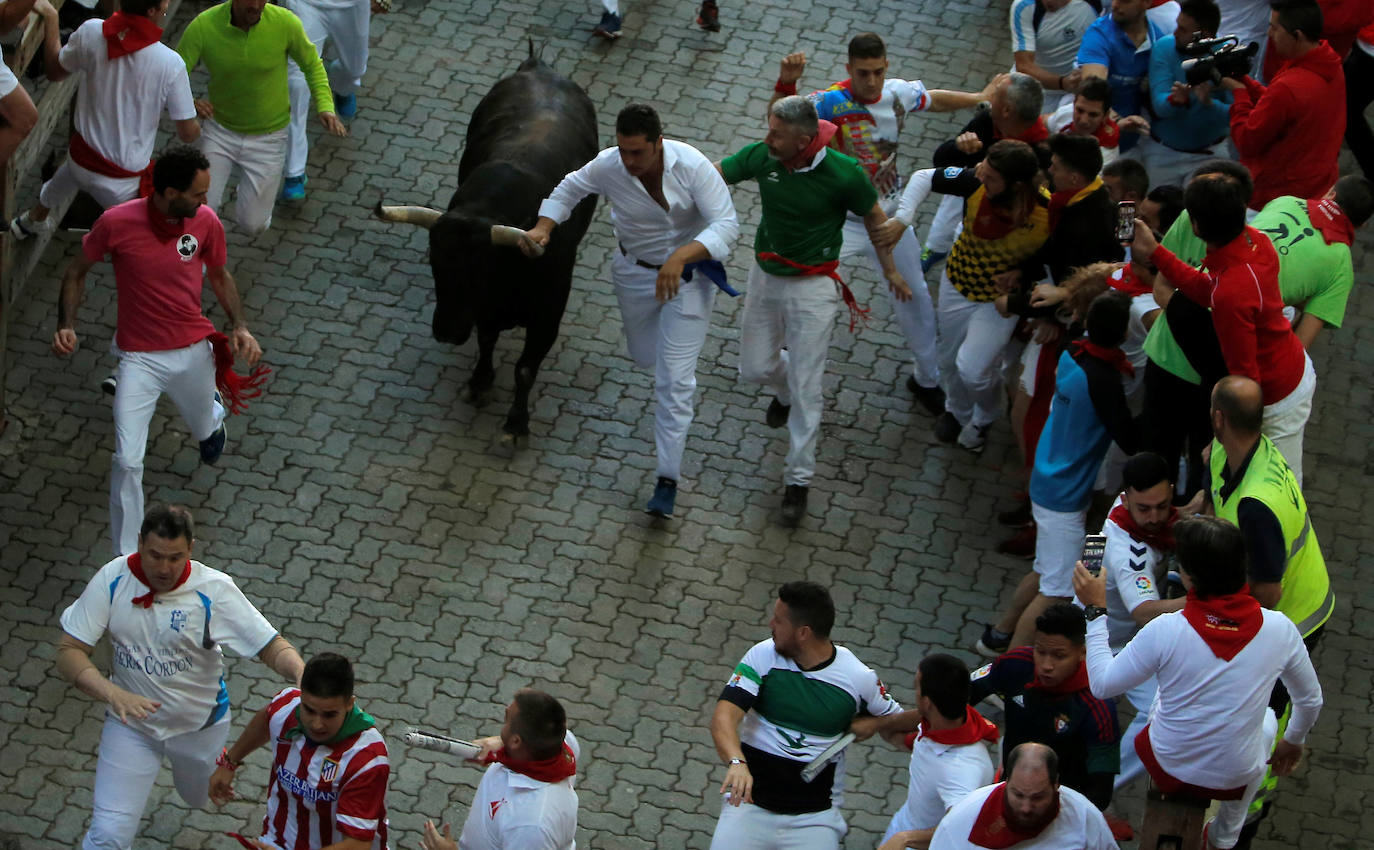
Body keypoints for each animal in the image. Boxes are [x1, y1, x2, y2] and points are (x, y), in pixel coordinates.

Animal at [376, 53, 596, 439]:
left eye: (479, 270)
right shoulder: (486, 312)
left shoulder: (549, 313)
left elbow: (525, 369)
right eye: (434, 263)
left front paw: (516, 423)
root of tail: (538, 67)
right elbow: (487, 339)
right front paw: (480, 382)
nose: (446, 331)